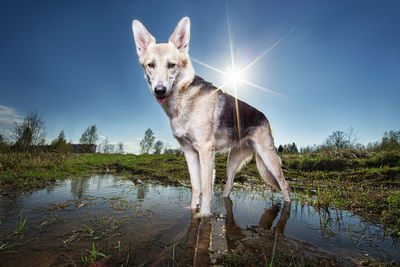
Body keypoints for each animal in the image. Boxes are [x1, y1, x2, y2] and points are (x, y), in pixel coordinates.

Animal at [131, 17, 290, 218]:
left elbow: (206, 188)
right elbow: (195, 186)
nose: (159, 90)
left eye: (171, 65)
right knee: (228, 186)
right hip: (232, 163)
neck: (182, 100)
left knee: (284, 184)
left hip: (269, 159)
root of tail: (264, 116)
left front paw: (204, 215)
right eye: (151, 65)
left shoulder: (206, 150)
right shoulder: (189, 152)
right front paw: (193, 210)